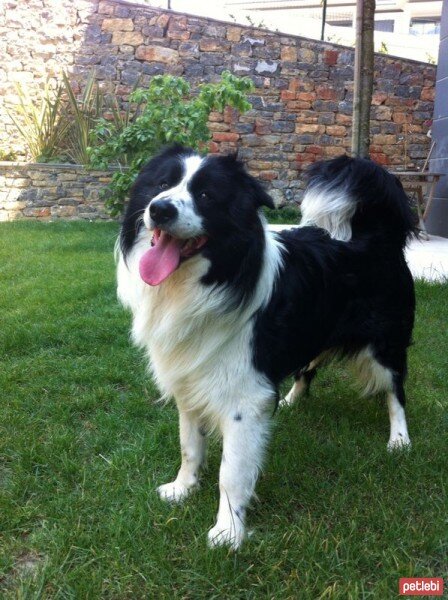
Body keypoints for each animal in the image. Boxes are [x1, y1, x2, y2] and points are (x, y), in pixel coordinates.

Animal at [116, 144, 416, 548]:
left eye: (206, 195)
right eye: (162, 184)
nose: (160, 209)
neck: (203, 281)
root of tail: (378, 235)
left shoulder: (244, 396)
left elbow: (231, 472)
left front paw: (228, 532)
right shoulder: (190, 376)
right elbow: (189, 444)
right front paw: (183, 489)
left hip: (385, 344)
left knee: (395, 389)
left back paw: (399, 439)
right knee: (308, 369)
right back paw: (291, 400)